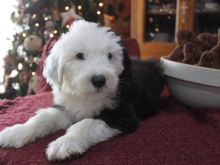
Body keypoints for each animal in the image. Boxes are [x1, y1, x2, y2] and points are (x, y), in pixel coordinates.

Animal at [0, 20, 163, 160]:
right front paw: (15, 132)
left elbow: (85, 124)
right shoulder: (67, 108)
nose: (99, 80)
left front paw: (65, 143)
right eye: (79, 55)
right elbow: (43, 118)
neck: (86, 96)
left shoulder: (122, 113)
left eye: (110, 55)